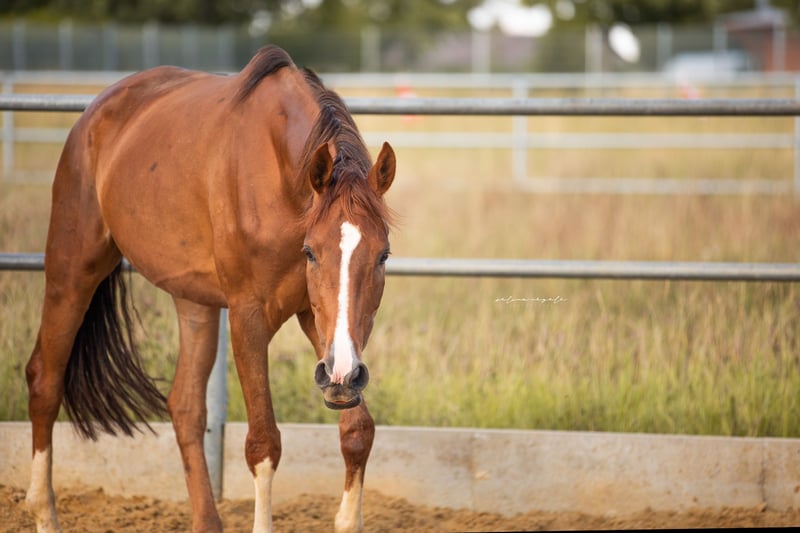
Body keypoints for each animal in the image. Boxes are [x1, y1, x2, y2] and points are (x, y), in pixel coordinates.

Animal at [24, 45, 396, 533]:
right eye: (311, 253)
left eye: (383, 255)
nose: (345, 375)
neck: (281, 177)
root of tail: (95, 114)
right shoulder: (248, 316)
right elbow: (263, 444)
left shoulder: (320, 324)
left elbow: (357, 432)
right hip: (72, 271)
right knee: (44, 380)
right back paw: (43, 511)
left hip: (194, 302)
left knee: (185, 406)